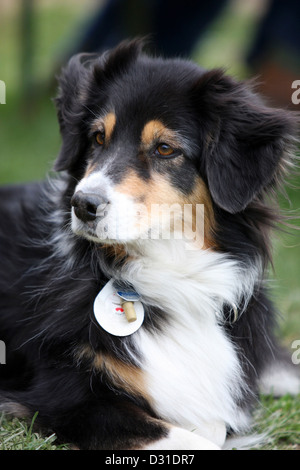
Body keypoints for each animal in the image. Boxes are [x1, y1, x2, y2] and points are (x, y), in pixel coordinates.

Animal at [0, 39, 300, 448]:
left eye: (165, 149)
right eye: (98, 138)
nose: (82, 205)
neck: (167, 276)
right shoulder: (64, 397)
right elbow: (195, 437)